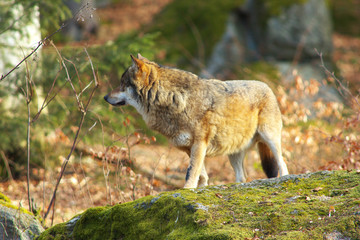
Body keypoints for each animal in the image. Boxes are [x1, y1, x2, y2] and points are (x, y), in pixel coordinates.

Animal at [104, 54, 290, 189]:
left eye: (122, 84)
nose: (105, 97)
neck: (174, 100)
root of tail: (268, 87)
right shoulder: (189, 147)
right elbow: (202, 174)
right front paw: (200, 189)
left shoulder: (200, 143)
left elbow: (191, 172)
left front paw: (187, 190)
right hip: (233, 153)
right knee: (242, 177)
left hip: (269, 138)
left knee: (283, 164)